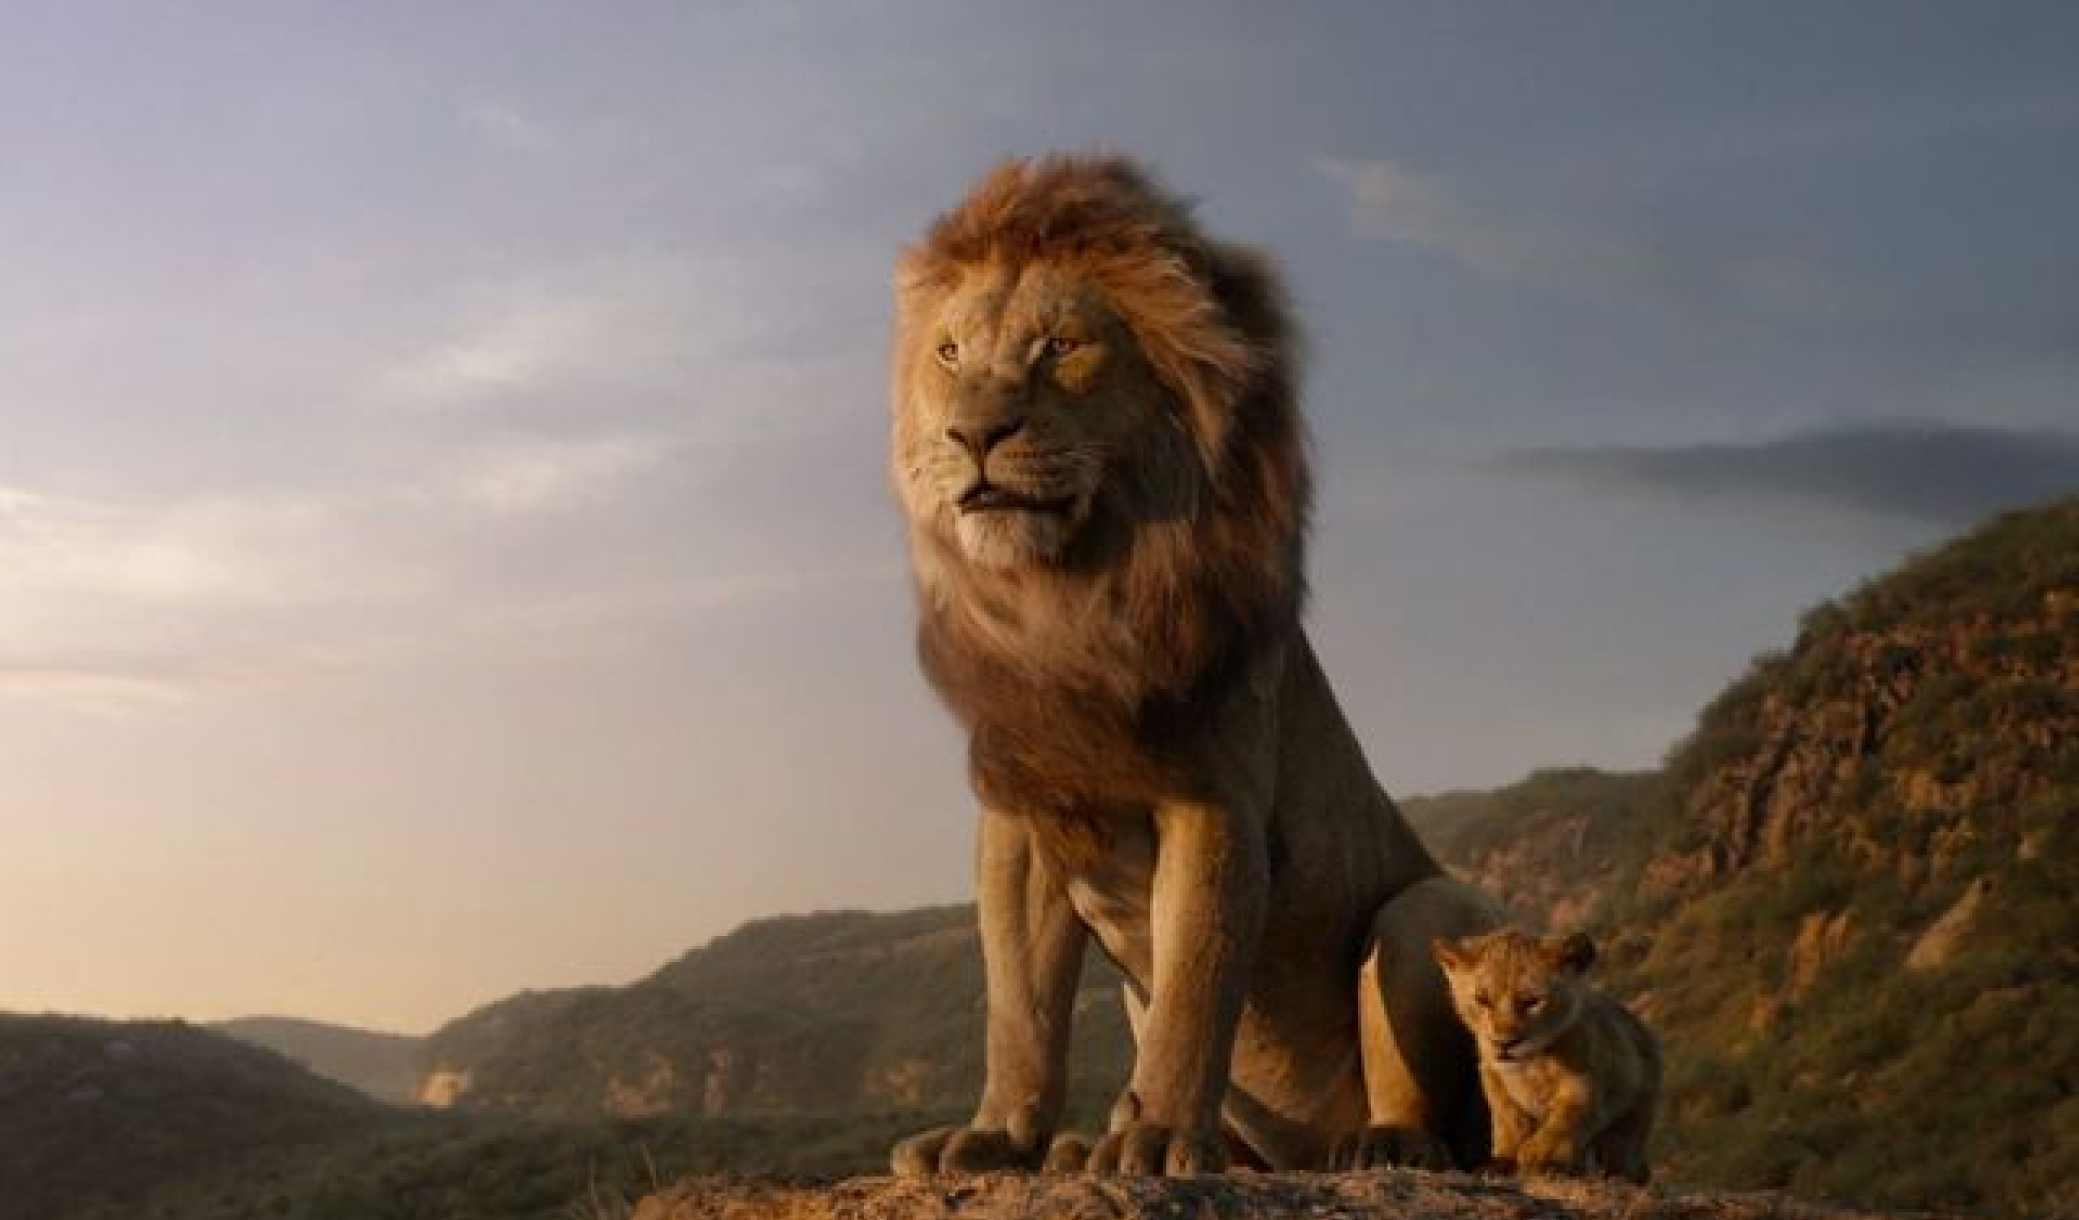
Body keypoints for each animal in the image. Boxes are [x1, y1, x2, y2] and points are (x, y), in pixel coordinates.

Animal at [887, 155, 1502, 1177]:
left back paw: (1378, 1145)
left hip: (1425, 909)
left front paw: (1159, 1136)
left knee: (1432, 1105)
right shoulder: (1022, 818)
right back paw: (1083, 1149)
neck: (1067, 598)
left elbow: (1193, 986)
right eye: (948, 355)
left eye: (1059, 346)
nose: (971, 435)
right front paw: (996, 1136)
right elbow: (1019, 1006)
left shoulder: (1211, 800)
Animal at [1433, 930, 1660, 1183]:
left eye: (1531, 1001)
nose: (1504, 1044)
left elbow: (1564, 1121)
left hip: (1631, 1119)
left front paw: (1538, 1156)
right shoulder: (1492, 1075)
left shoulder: (1586, 1085)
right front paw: (1503, 1161)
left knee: (1623, 1157)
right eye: (1482, 1000)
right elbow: (1509, 1120)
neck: (1531, 1062)